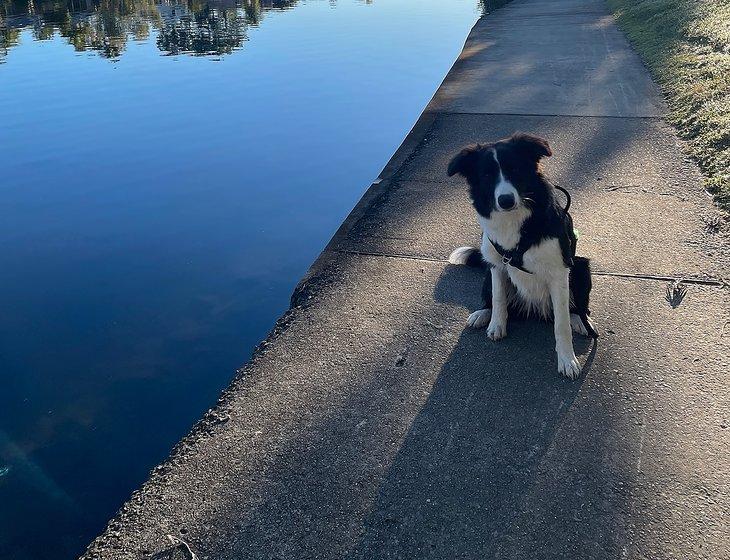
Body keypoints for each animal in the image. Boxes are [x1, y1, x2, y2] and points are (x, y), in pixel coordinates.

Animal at [446, 133, 596, 378]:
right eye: (486, 175)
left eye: (515, 169)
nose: (505, 200)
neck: (516, 222)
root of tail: (534, 308)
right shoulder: (497, 266)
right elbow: (498, 298)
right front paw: (497, 324)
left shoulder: (559, 272)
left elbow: (561, 323)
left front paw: (567, 359)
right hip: (488, 274)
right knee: (493, 298)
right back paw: (483, 313)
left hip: (581, 267)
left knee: (576, 307)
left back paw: (581, 320)